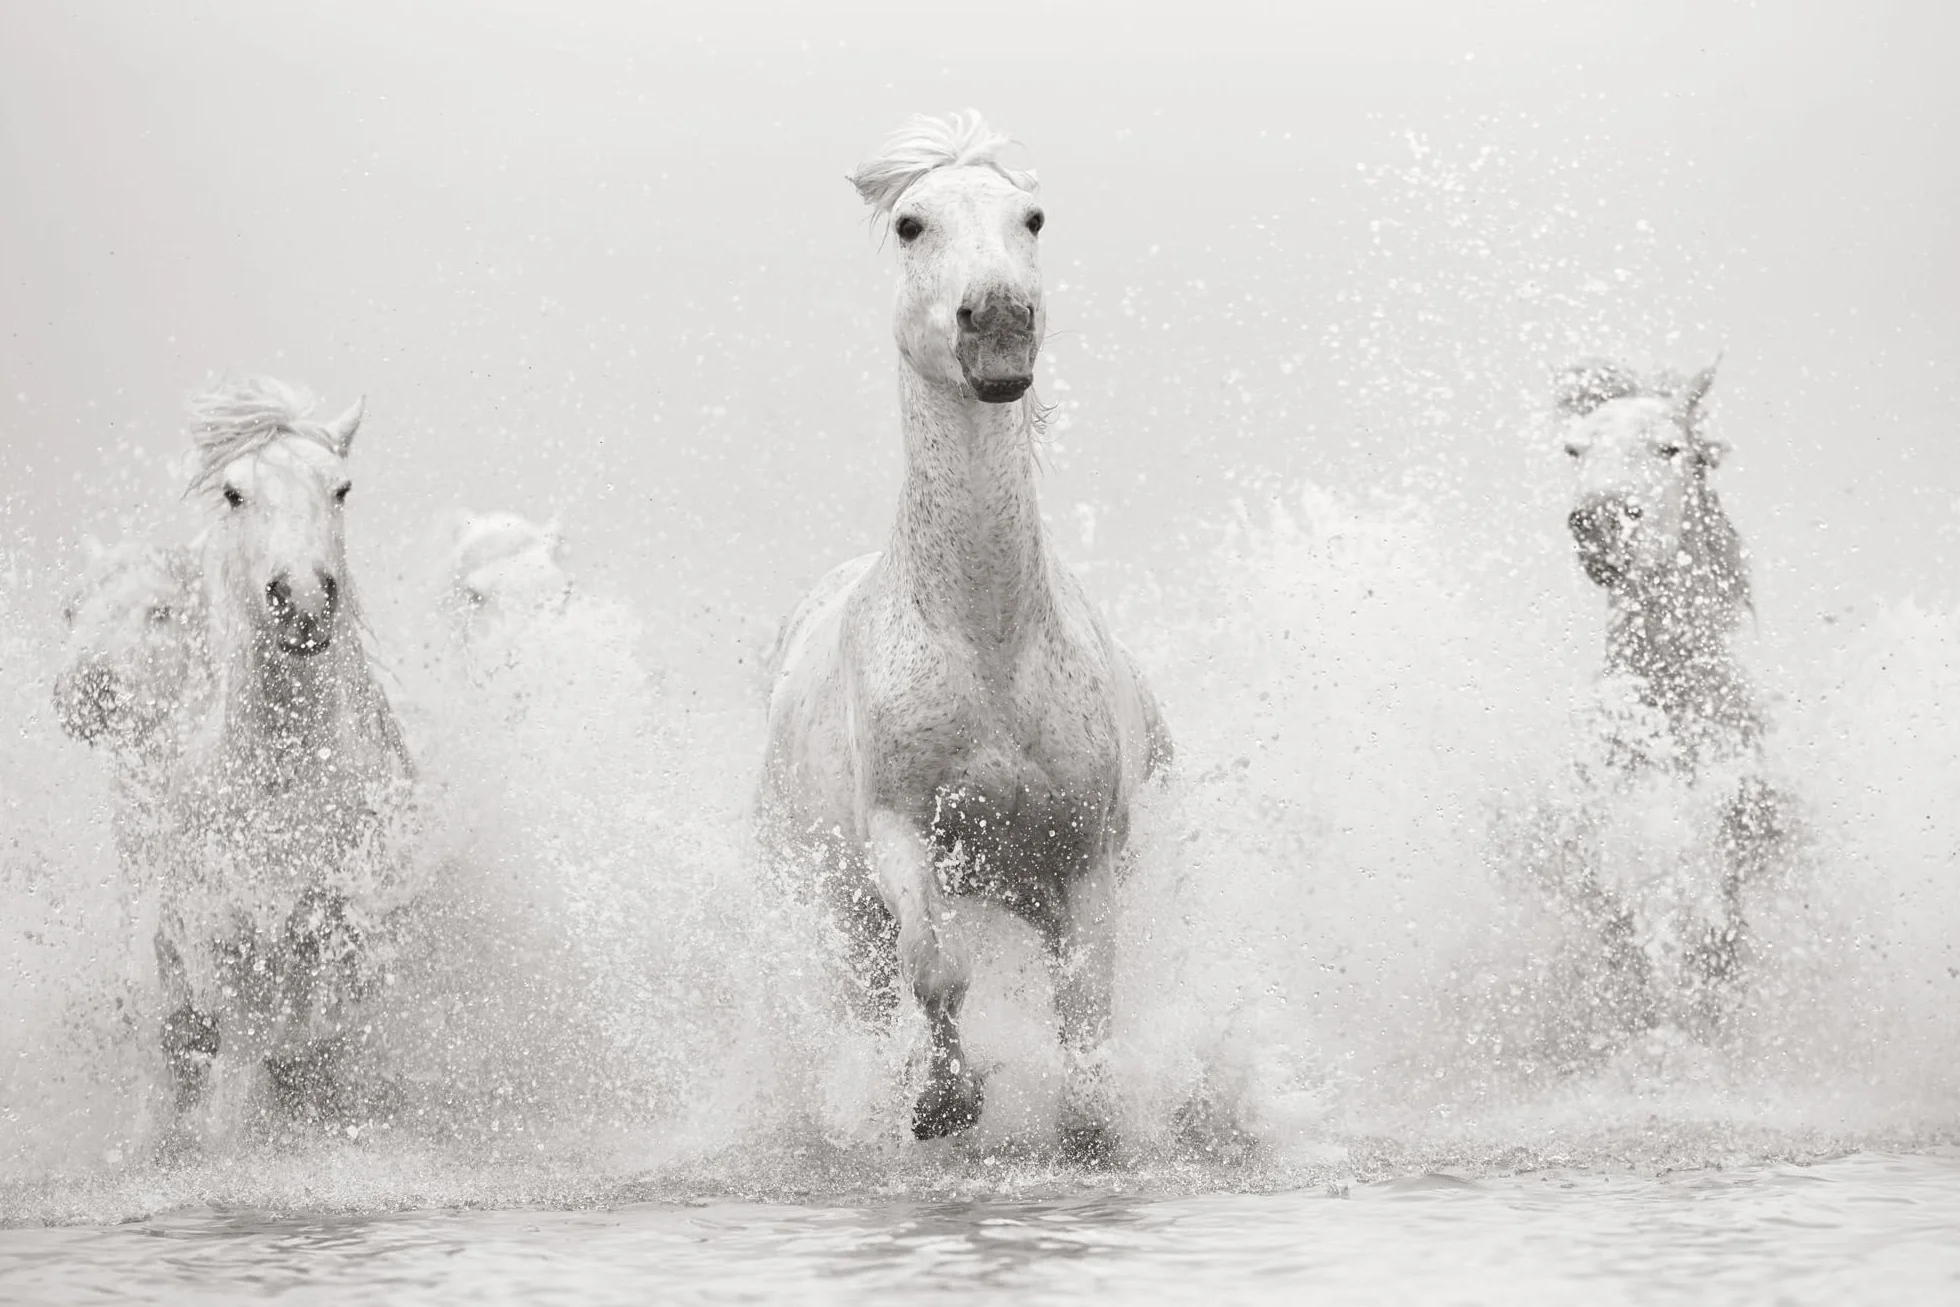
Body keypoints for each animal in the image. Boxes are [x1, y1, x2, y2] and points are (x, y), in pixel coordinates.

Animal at [155, 378, 415, 1124]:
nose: (301, 598)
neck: (283, 776)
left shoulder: (341, 943)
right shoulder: (229, 949)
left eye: (342, 488)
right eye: (233, 493)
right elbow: (233, 1094)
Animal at [757, 112, 1172, 1158]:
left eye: (1033, 217)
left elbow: (1086, 1008)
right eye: (912, 223)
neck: (987, 643)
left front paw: (1086, 1128)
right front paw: (944, 1102)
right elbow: (936, 966)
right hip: (837, 912)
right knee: (872, 997)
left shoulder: (1086, 857)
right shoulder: (899, 832)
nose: (998, 322)